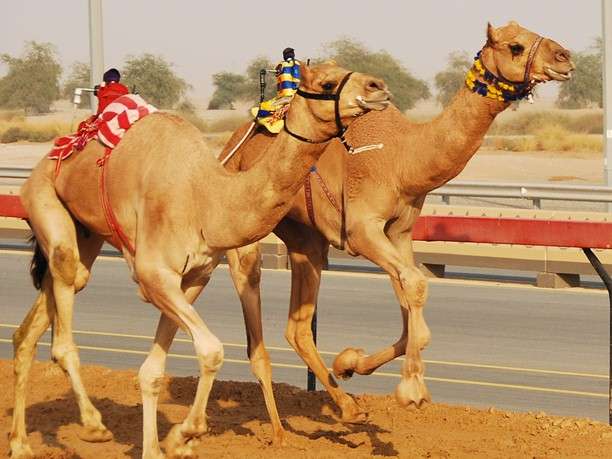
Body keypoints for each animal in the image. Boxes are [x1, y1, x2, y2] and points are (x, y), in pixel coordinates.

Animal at [8, 62, 392, 459]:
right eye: (328, 83)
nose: (378, 87)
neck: (208, 199)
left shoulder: (193, 278)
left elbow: (152, 371)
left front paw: (162, 445)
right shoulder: (153, 275)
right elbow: (211, 350)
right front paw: (183, 436)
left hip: (85, 234)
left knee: (38, 318)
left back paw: (21, 443)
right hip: (43, 200)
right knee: (62, 326)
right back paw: (92, 425)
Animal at [218, 20, 576, 424]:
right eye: (515, 46)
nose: (564, 57)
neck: (403, 158)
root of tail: (232, 142)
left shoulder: (400, 232)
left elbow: (413, 312)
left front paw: (349, 362)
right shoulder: (361, 229)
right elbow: (416, 287)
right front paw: (412, 391)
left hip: (304, 238)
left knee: (298, 326)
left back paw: (348, 406)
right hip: (245, 224)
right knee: (248, 279)